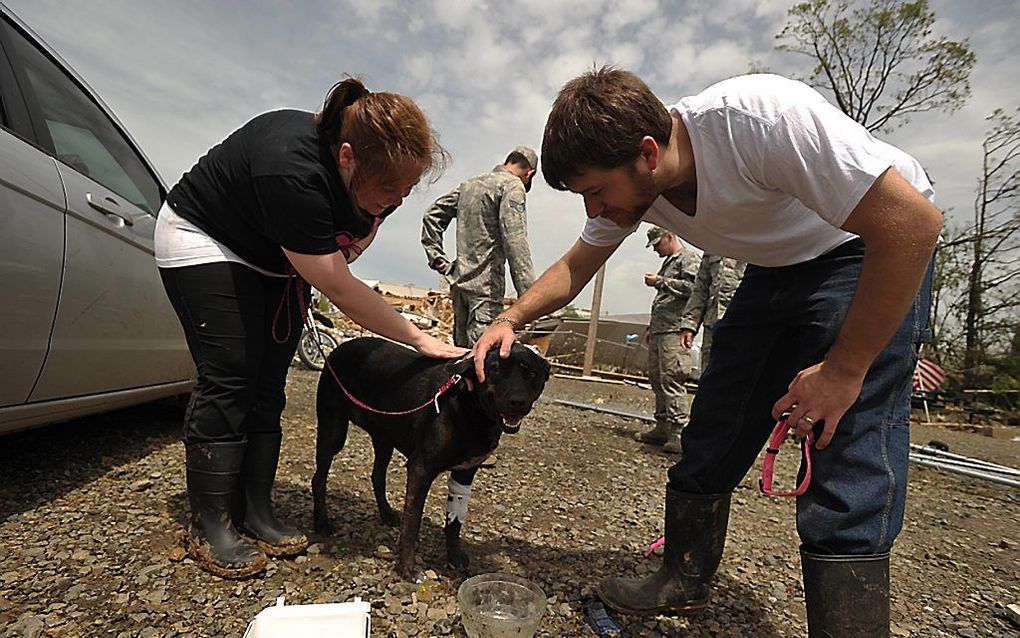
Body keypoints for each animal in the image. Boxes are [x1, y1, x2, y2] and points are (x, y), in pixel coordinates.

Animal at [310, 336, 550, 579]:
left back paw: (386, 514)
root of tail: (342, 346)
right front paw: (406, 567)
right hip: (333, 432)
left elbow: (454, 524)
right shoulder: (420, 471)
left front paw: (454, 556)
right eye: (494, 369)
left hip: (384, 438)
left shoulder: (465, 472)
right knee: (319, 478)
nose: (517, 401)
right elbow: (412, 522)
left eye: (531, 373)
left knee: (377, 476)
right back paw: (322, 522)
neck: (472, 409)